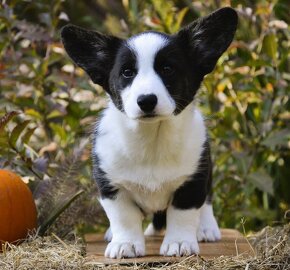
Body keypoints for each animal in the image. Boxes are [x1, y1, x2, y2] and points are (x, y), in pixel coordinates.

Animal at [61, 6, 238, 260]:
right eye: (127, 72)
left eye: (167, 69)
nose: (146, 101)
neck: (152, 137)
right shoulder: (111, 186)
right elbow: (123, 217)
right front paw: (125, 244)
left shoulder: (192, 180)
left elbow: (183, 214)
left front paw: (179, 243)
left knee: (206, 199)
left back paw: (206, 227)